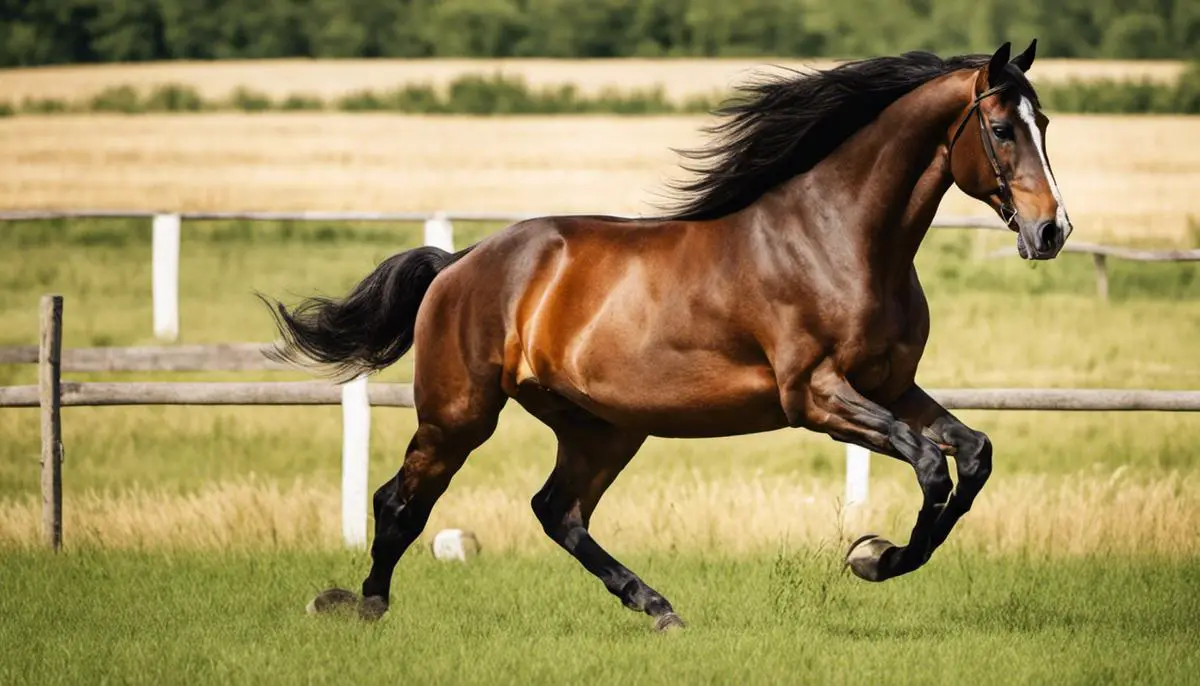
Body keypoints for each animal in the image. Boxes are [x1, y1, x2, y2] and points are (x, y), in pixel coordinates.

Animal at [265, 41, 1070, 633]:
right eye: (1003, 130)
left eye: (1046, 125)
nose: (1051, 231)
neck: (840, 238)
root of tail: (460, 262)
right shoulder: (815, 396)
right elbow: (930, 467)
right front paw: (871, 555)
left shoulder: (893, 386)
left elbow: (973, 455)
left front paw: (879, 556)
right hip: (460, 414)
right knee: (401, 502)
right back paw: (361, 605)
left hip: (602, 427)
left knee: (557, 511)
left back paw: (657, 608)